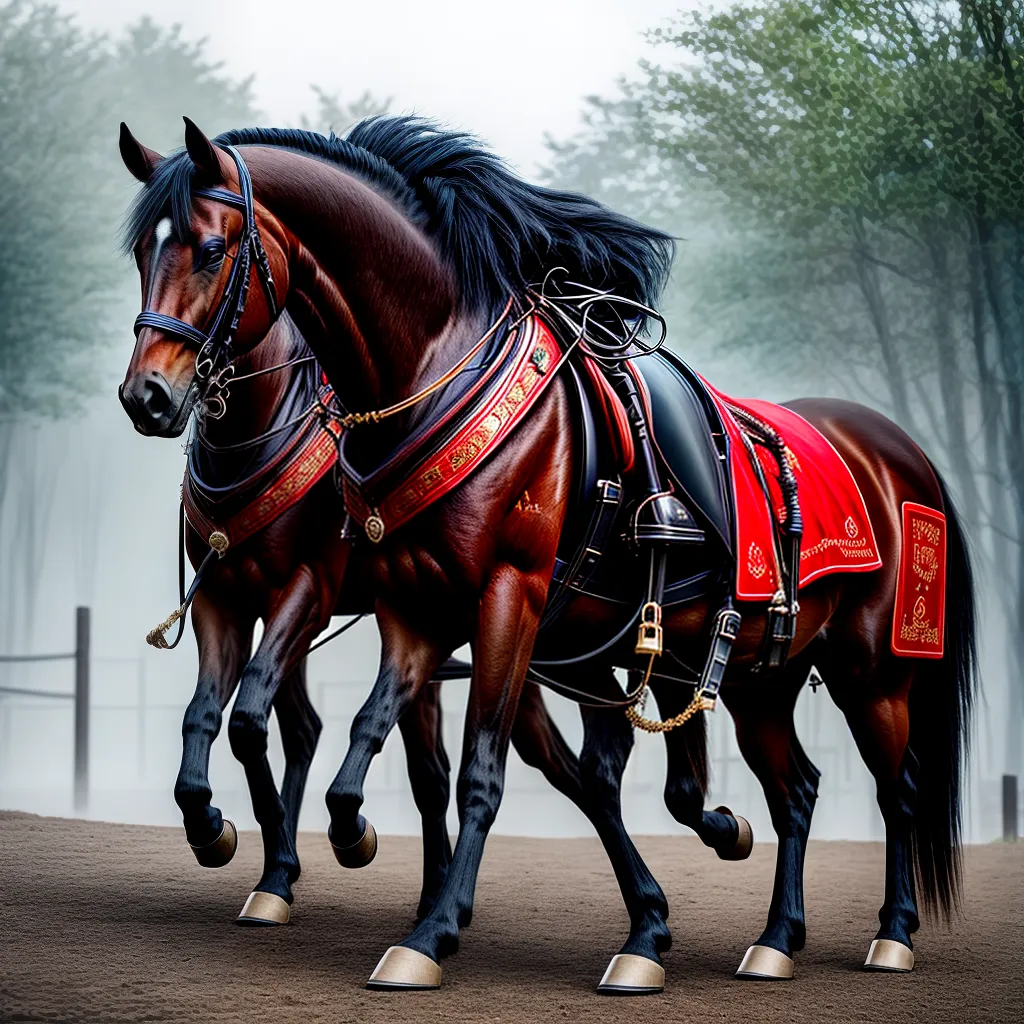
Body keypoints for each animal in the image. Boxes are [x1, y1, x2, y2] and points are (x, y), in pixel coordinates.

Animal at [120, 300, 588, 927]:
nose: (146, 396)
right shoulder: (231, 599)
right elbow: (221, 715)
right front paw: (232, 841)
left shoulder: (306, 591)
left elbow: (248, 716)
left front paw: (273, 856)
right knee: (356, 744)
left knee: (564, 767)